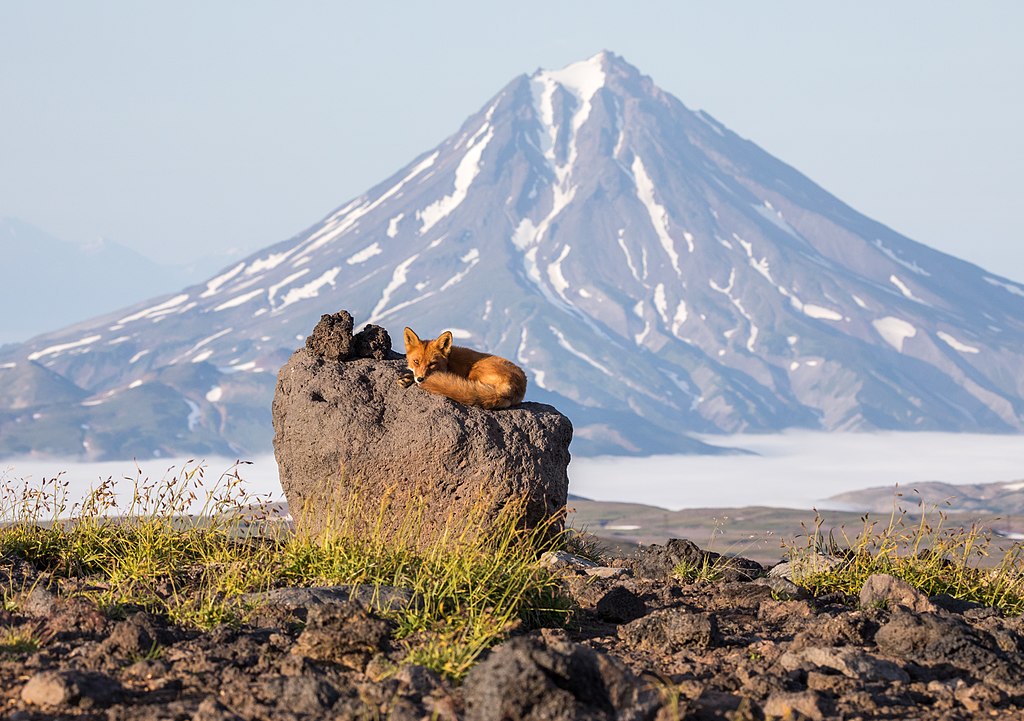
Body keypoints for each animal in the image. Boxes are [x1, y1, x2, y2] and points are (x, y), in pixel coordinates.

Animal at [397, 327, 528, 407]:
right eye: (416, 362)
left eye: (432, 364)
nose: (421, 379)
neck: (449, 361)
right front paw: (407, 378)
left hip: (475, 371)